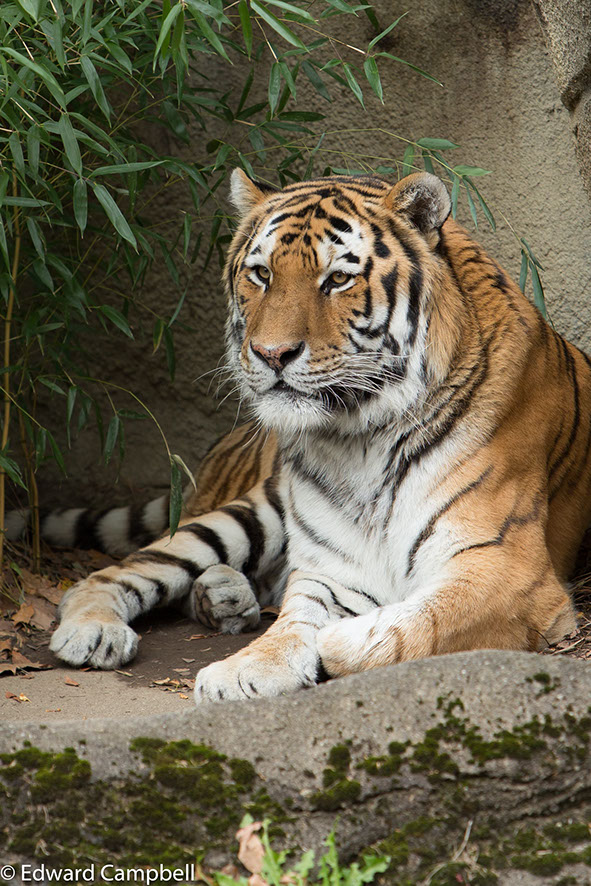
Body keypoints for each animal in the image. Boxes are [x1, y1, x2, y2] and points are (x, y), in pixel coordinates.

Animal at [48, 168, 591, 703]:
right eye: (262, 274)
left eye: (338, 279)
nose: (272, 353)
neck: (362, 439)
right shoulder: (334, 568)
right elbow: (298, 618)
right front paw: (246, 668)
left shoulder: (507, 569)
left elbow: (421, 621)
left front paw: (325, 644)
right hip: (250, 512)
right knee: (107, 574)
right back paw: (95, 631)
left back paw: (225, 597)